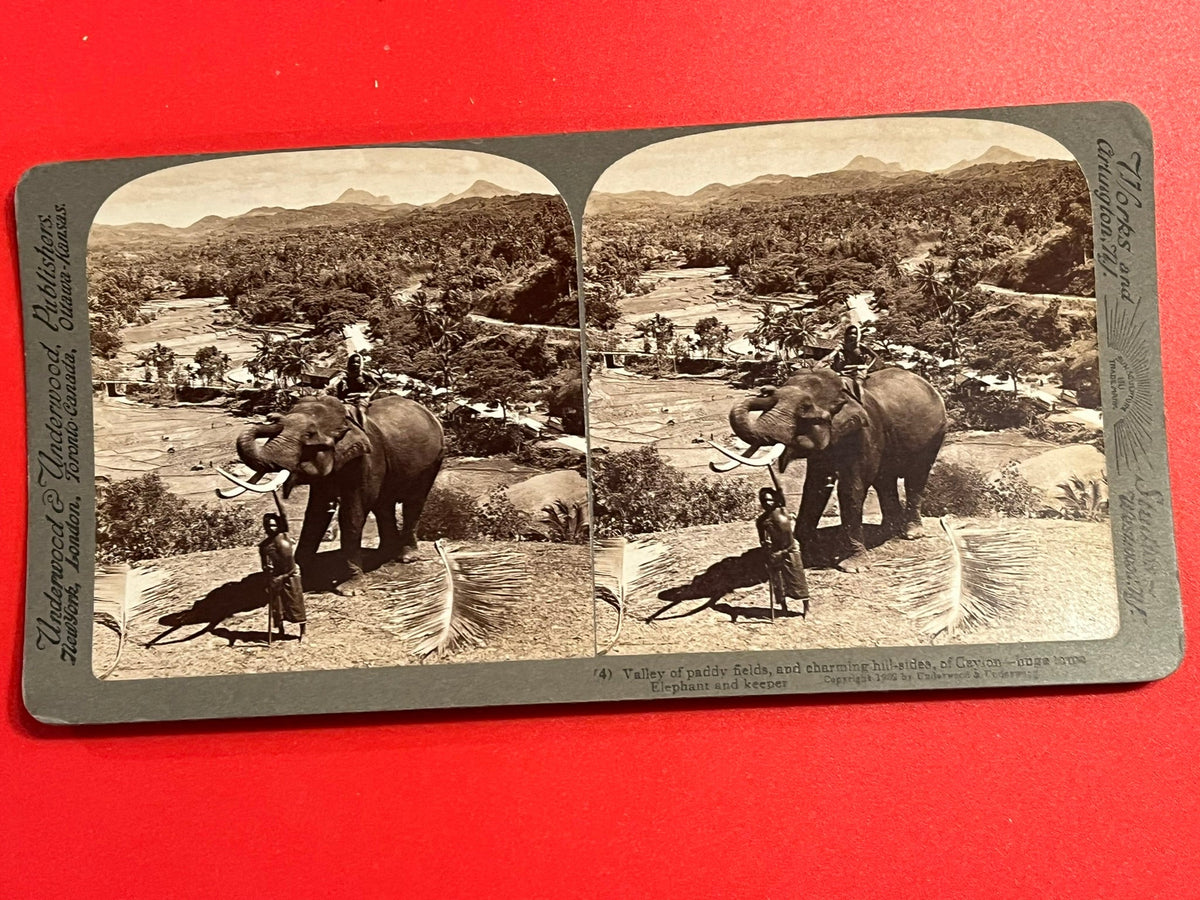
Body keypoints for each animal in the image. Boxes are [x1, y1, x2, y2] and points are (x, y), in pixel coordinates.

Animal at [218, 393, 444, 592]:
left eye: (308, 435)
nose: (272, 416)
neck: (346, 419)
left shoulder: (367, 458)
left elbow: (352, 513)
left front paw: (350, 589)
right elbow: (316, 513)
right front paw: (299, 573)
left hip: (433, 461)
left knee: (413, 501)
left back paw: (406, 557)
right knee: (383, 505)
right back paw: (383, 555)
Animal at [710, 367, 945, 571]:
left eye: (805, 410)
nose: (766, 389)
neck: (845, 391)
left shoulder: (866, 431)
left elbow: (851, 488)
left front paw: (853, 567)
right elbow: (815, 485)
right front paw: (802, 551)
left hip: (934, 436)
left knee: (916, 477)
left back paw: (911, 533)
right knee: (884, 481)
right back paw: (887, 531)